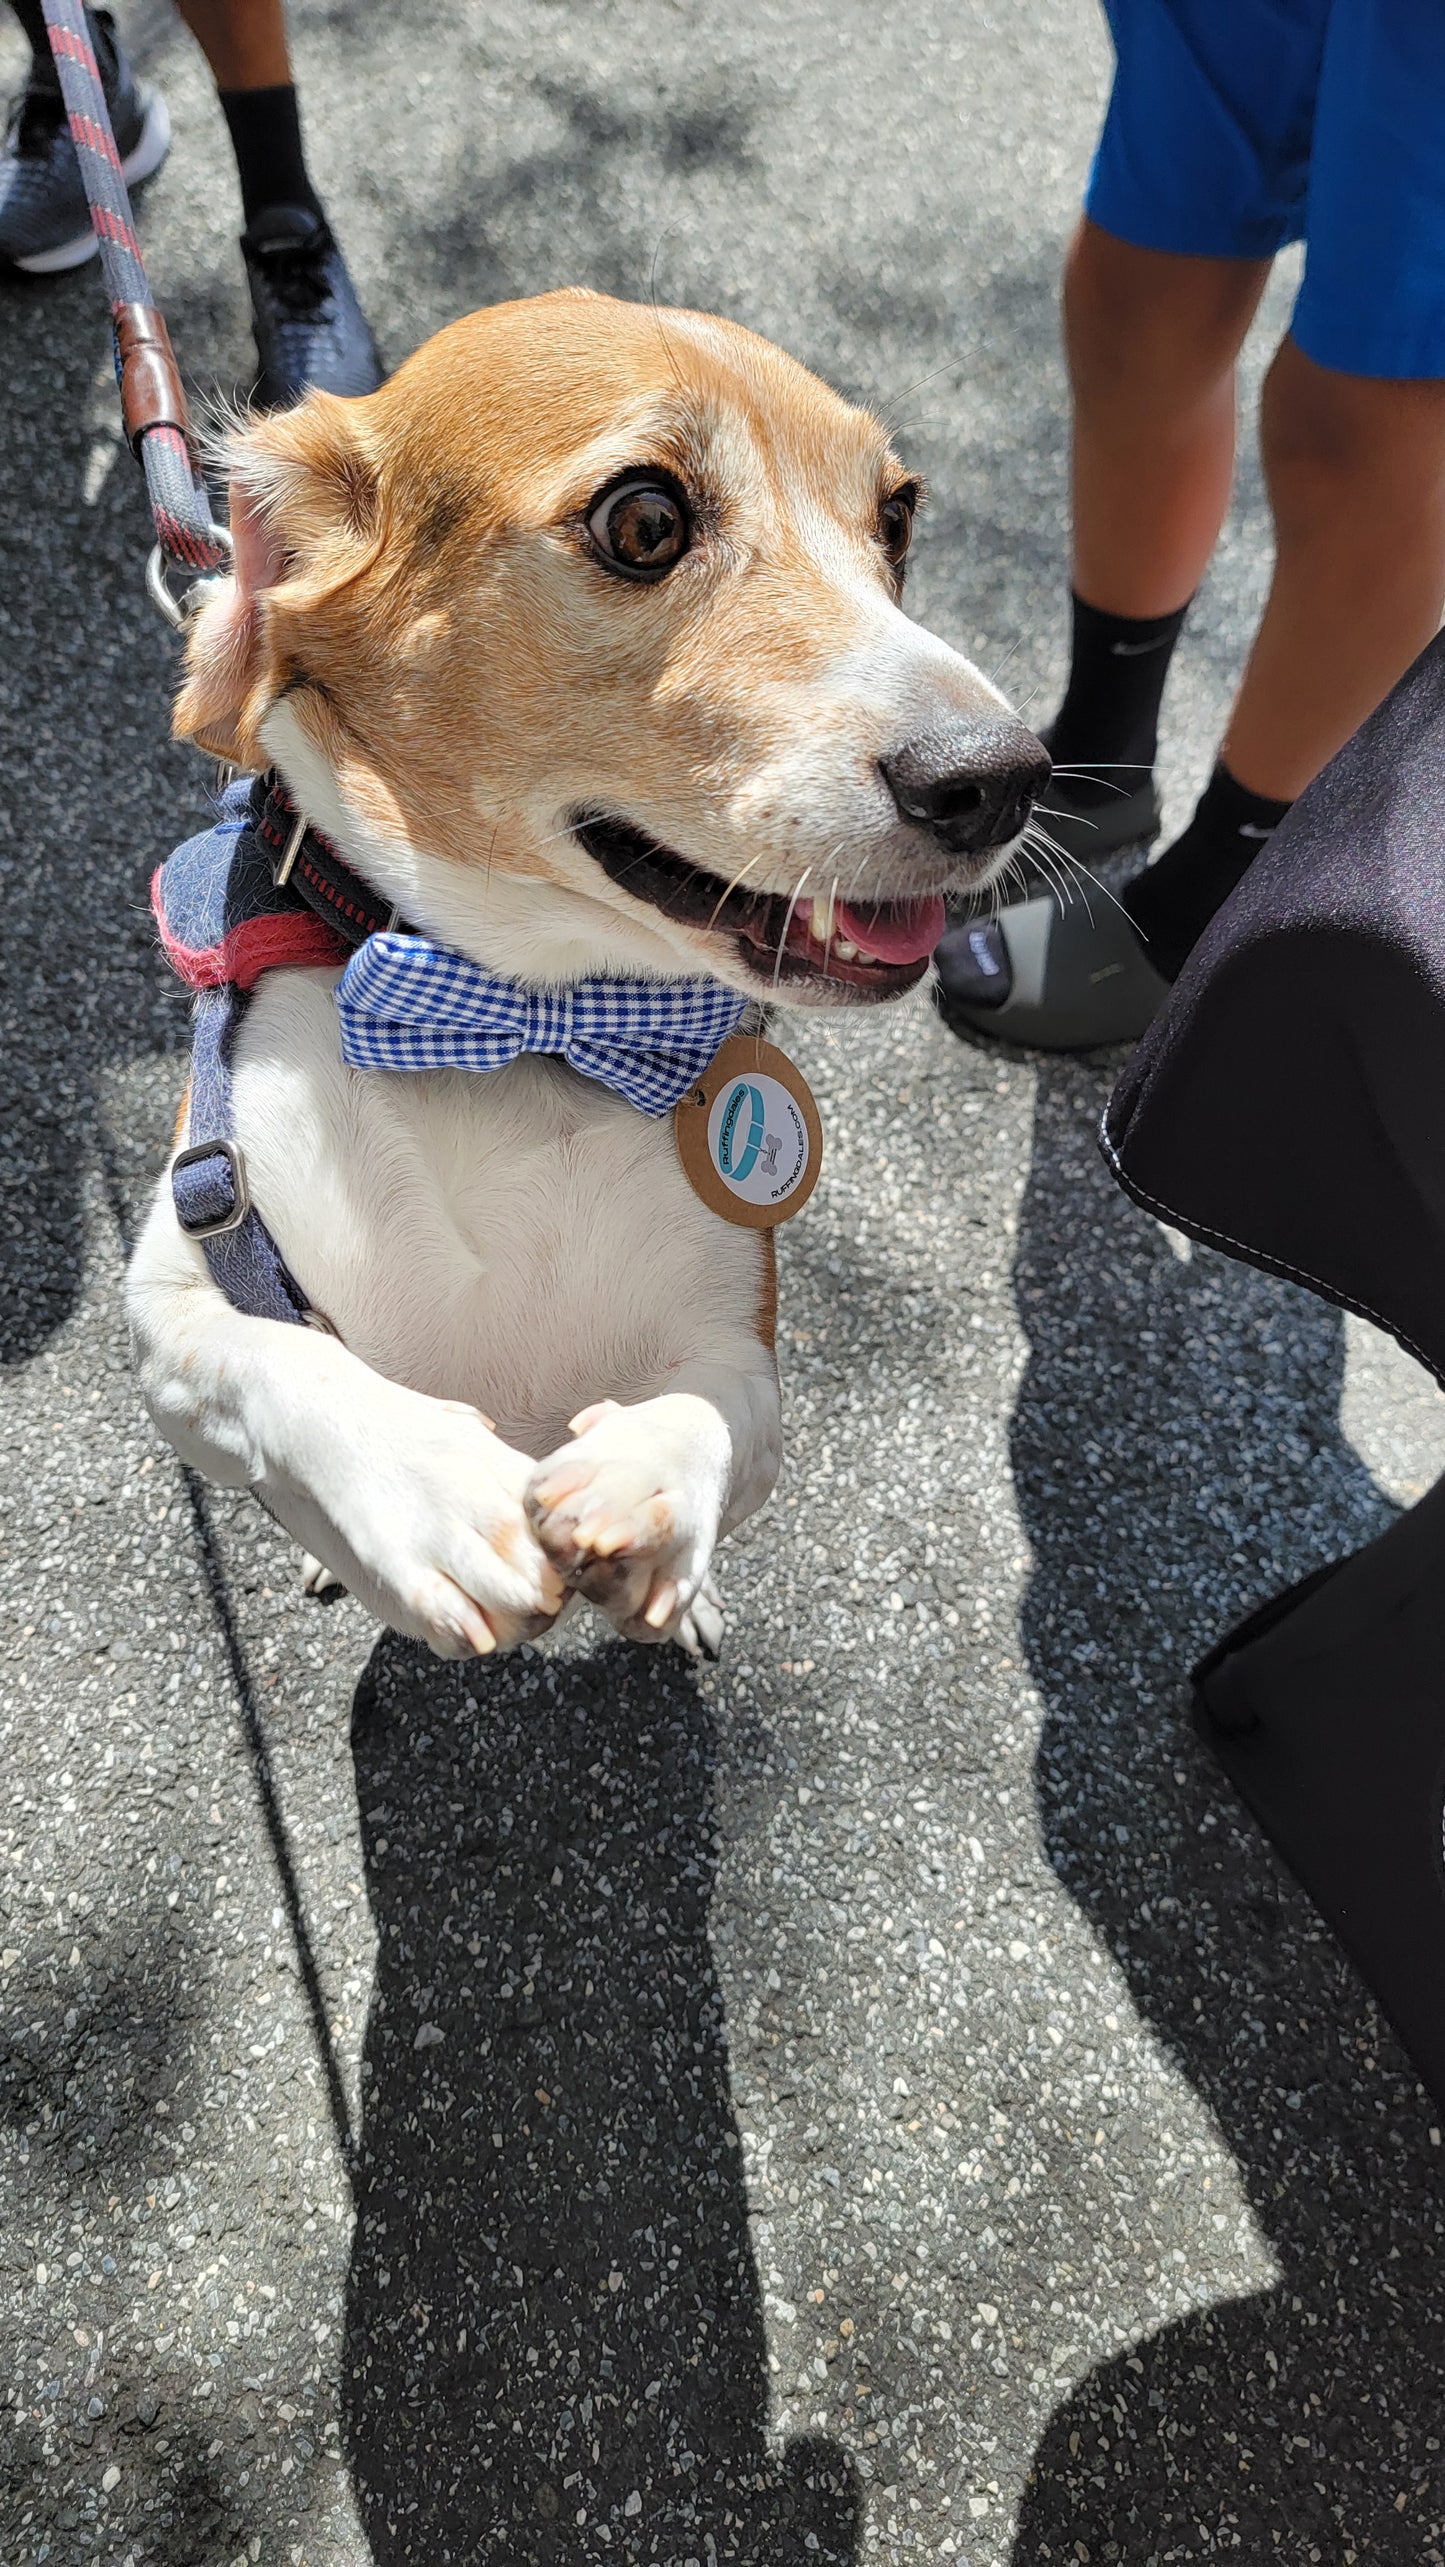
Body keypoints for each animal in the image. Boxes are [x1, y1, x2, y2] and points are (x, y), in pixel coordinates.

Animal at [127, 291, 1052, 1663]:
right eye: (644, 520)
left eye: (895, 516)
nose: (998, 775)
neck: (519, 1020)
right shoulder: (184, 1285)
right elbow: (276, 1364)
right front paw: (426, 1492)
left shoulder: (740, 1334)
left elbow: (716, 1411)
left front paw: (647, 1484)